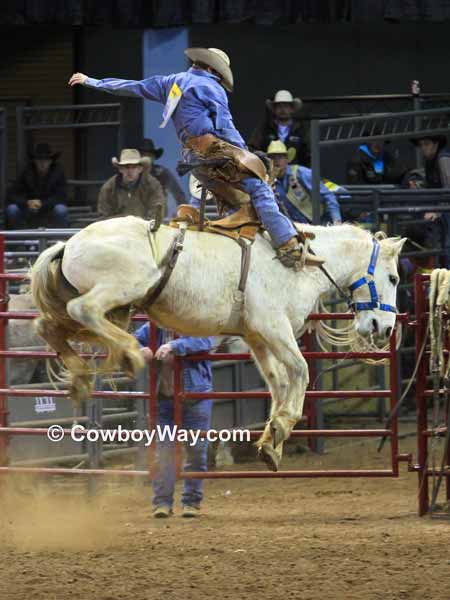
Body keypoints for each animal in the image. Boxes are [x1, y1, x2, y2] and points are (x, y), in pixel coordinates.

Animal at [29, 218, 406, 472]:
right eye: (393, 278)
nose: (385, 328)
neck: (303, 264)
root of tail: (67, 244)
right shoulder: (273, 326)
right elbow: (299, 371)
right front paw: (283, 426)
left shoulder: (255, 335)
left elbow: (278, 382)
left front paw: (272, 442)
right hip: (121, 288)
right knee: (83, 309)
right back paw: (130, 354)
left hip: (107, 305)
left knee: (48, 325)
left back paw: (81, 375)